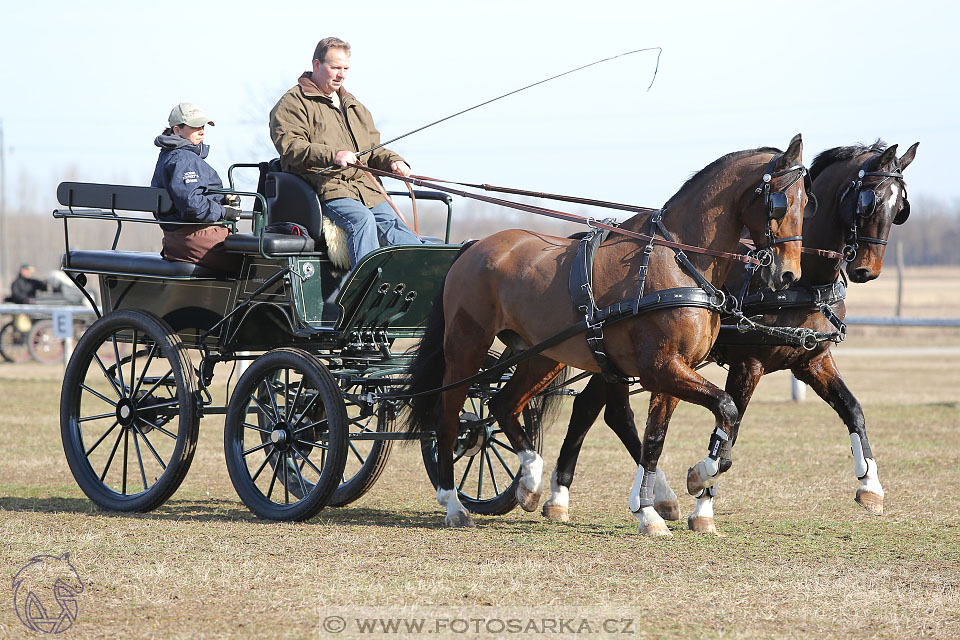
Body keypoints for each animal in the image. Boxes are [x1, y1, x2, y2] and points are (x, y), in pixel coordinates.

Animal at [404, 132, 808, 532]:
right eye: (779, 203)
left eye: (807, 202)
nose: (788, 274)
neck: (678, 259)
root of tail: (474, 246)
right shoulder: (661, 368)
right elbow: (724, 406)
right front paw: (694, 479)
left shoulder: (674, 371)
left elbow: (656, 439)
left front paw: (655, 506)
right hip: (467, 347)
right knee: (450, 415)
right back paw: (453, 503)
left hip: (542, 356)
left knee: (503, 404)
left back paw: (530, 482)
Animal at [544, 141, 920, 536]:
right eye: (869, 201)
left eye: (900, 207)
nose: (866, 269)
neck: (804, 284)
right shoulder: (747, 364)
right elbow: (731, 425)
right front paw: (703, 499)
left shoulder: (812, 361)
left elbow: (853, 410)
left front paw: (870, 485)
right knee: (594, 410)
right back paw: (565, 496)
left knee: (600, 409)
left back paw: (641, 496)